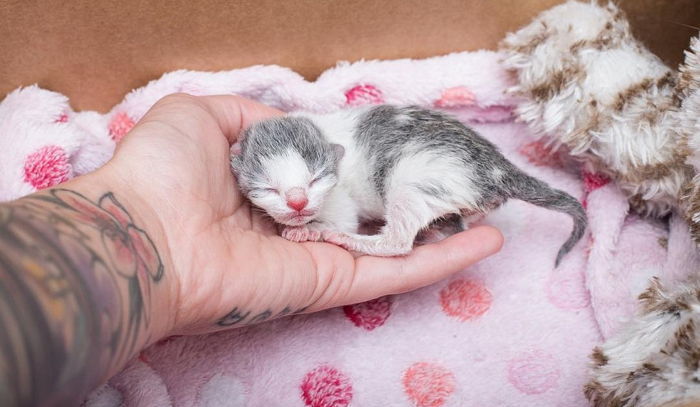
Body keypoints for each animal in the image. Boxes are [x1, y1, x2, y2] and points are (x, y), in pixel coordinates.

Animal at [230, 104, 584, 268]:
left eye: (315, 179)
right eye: (268, 189)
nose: (297, 202)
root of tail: (498, 168)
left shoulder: (339, 199)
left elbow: (339, 220)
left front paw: (308, 231)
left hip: (415, 178)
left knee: (398, 242)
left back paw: (351, 240)